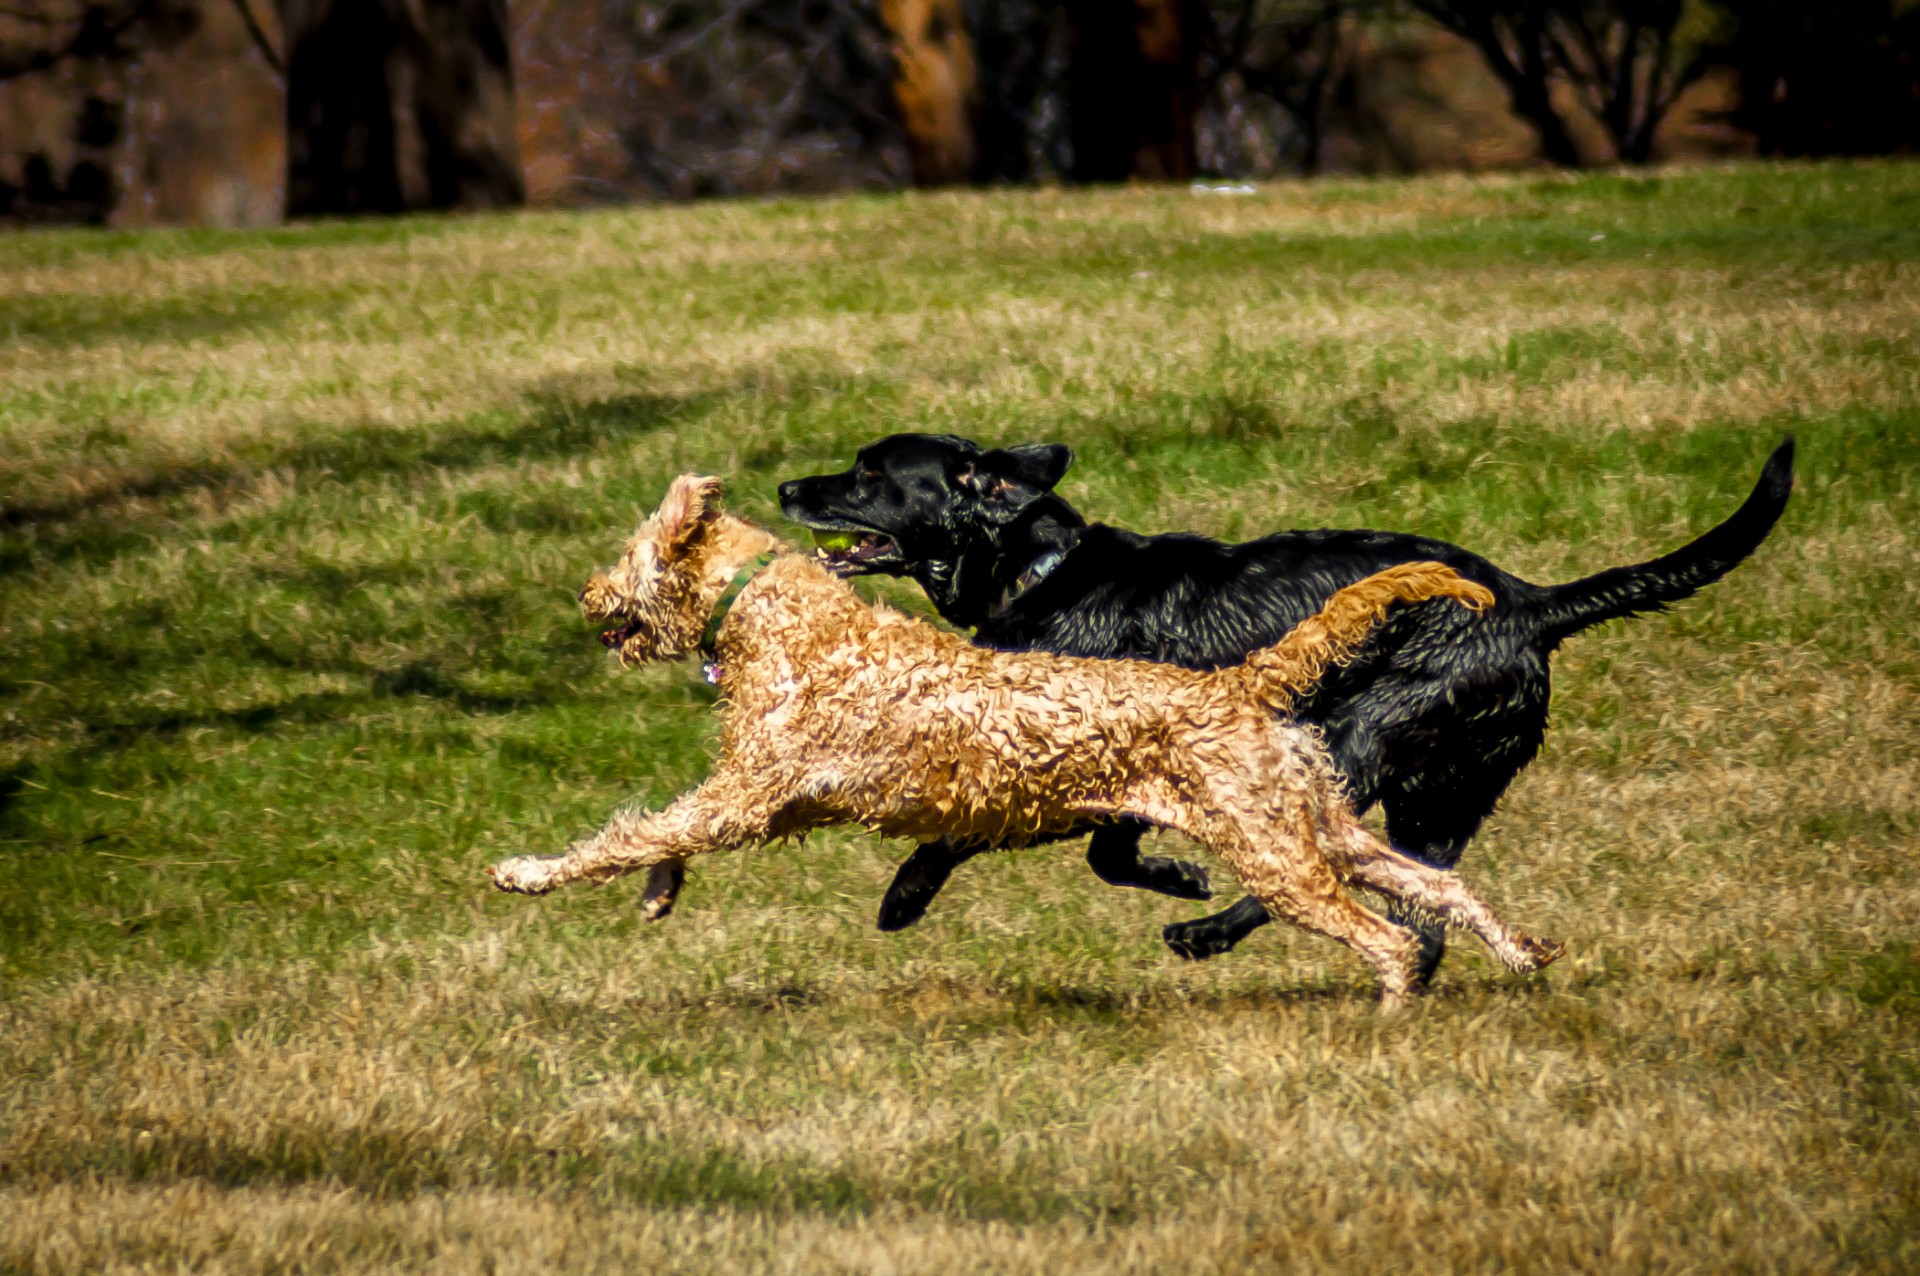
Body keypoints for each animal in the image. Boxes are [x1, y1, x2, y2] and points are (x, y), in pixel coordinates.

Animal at [491, 472, 1559, 997]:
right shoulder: (755, 799)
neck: (781, 618)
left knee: (1385, 935)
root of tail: (1242, 683)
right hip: (1322, 826)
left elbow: (630, 834)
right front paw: (660, 896)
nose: (586, 595)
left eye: (626, 554)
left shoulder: (750, 792)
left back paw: (1391, 1005)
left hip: (1277, 853)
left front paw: (528, 872)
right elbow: (665, 837)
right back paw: (1522, 955)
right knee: (1437, 887)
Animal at [771, 433, 1789, 978]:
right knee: (1421, 906)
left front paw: (903, 898)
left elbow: (992, 841)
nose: (784, 484)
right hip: (1438, 795)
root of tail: (1532, 604)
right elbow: (1108, 851)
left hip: (1353, 739)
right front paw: (1179, 875)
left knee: (1327, 879)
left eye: (868, 474)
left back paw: (1207, 934)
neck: (1044, 572)